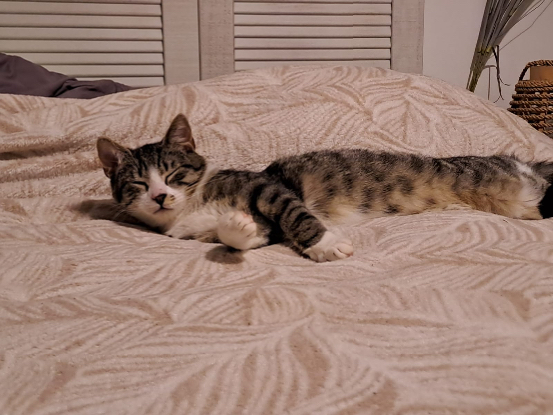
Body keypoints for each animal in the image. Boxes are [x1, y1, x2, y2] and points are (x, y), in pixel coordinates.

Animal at [97, 113, 553, 262]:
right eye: (138, 183)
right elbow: (246, 235)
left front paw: (327, 245)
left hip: (513, 181)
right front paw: (238, 226)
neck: (192, 208)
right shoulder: (203, 233)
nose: (160, 196)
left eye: (174, 174)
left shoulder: (269, 186)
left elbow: (294, 213)